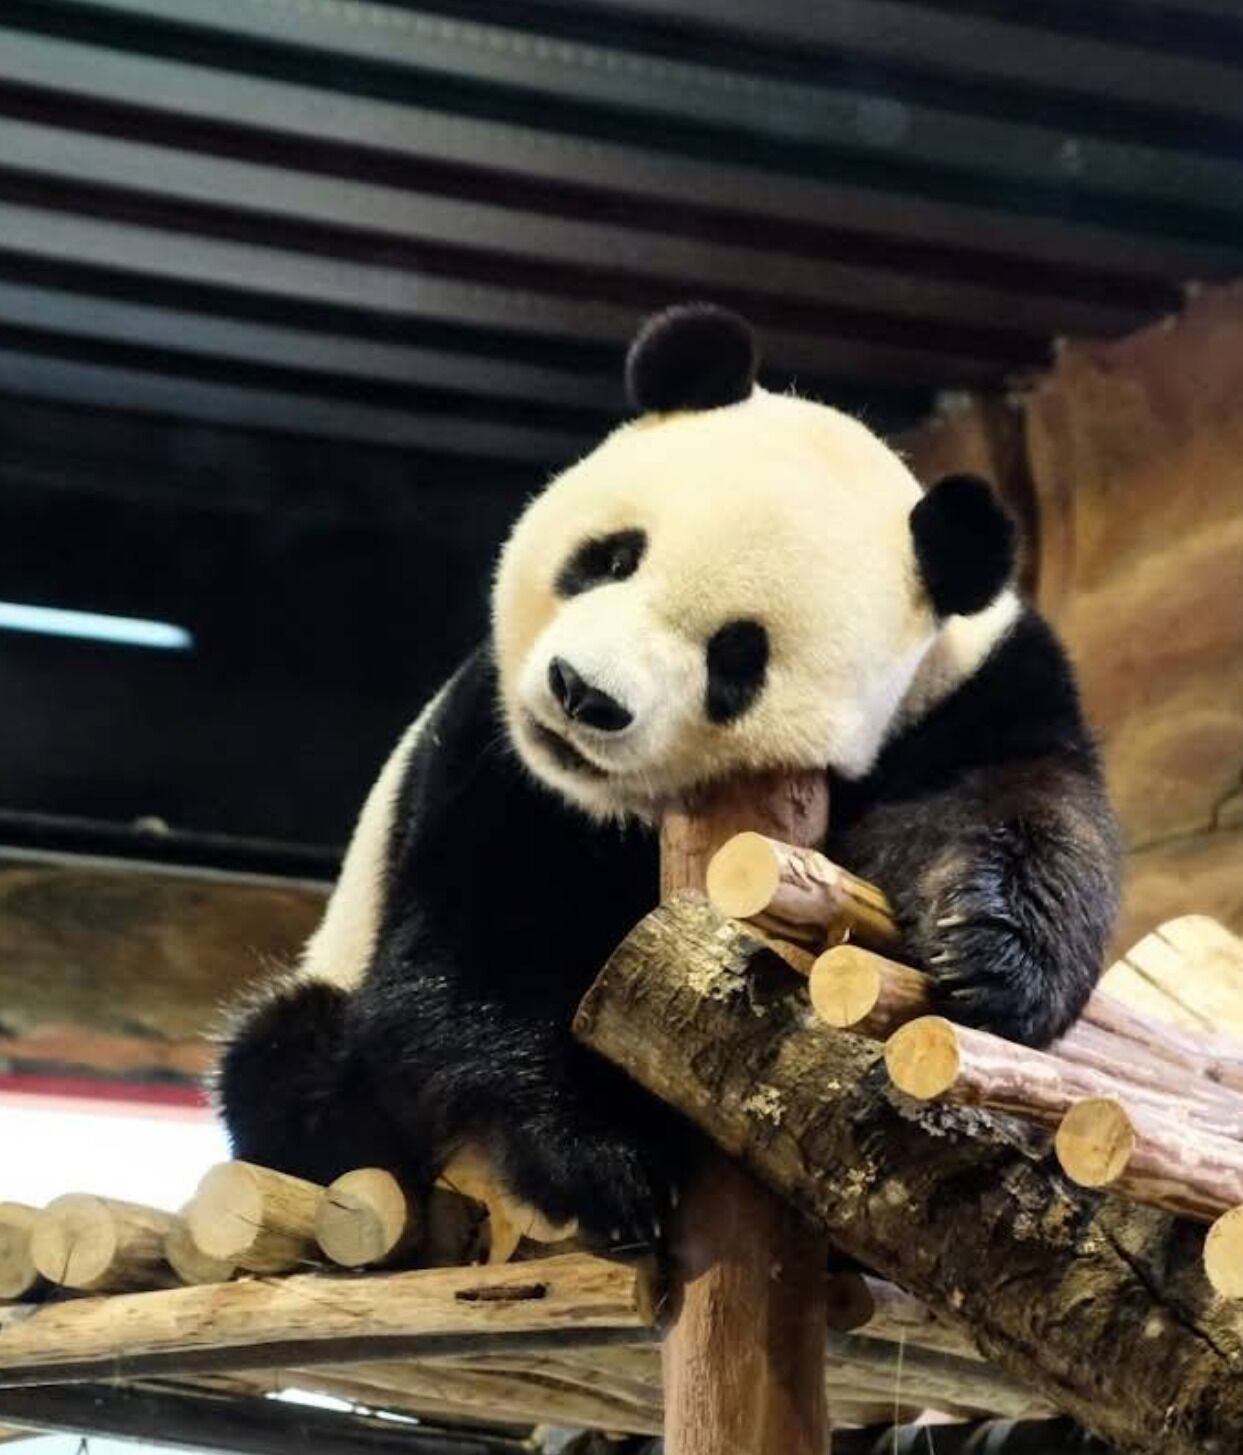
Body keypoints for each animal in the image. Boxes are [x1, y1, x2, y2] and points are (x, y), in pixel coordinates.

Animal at [216, 303, 1121, 1248]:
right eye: (612, 556)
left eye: (737, 657)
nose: (583, 693)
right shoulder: (492, 754)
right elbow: (476, 944)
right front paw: (598, 1160)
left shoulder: (971, 691)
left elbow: (1023, 804)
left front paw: (986, 953)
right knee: (288, 1057)